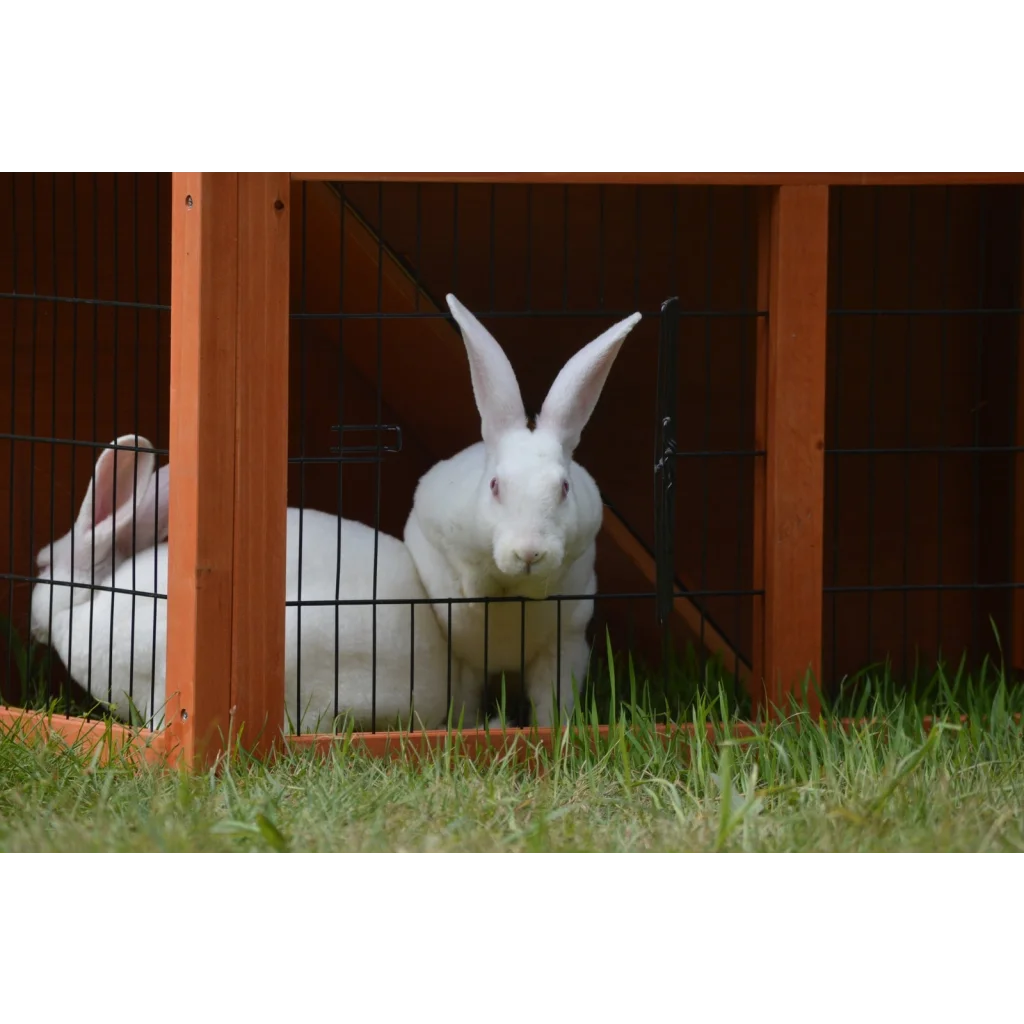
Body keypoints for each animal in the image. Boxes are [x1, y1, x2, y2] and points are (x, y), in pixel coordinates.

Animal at [403, 293, 641, 729]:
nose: (529, 552)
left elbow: (551, 702)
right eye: (495, 486)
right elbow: (470, 576)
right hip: (463, 669)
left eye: (563, 488)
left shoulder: (561, 643)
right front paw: (481, 593)